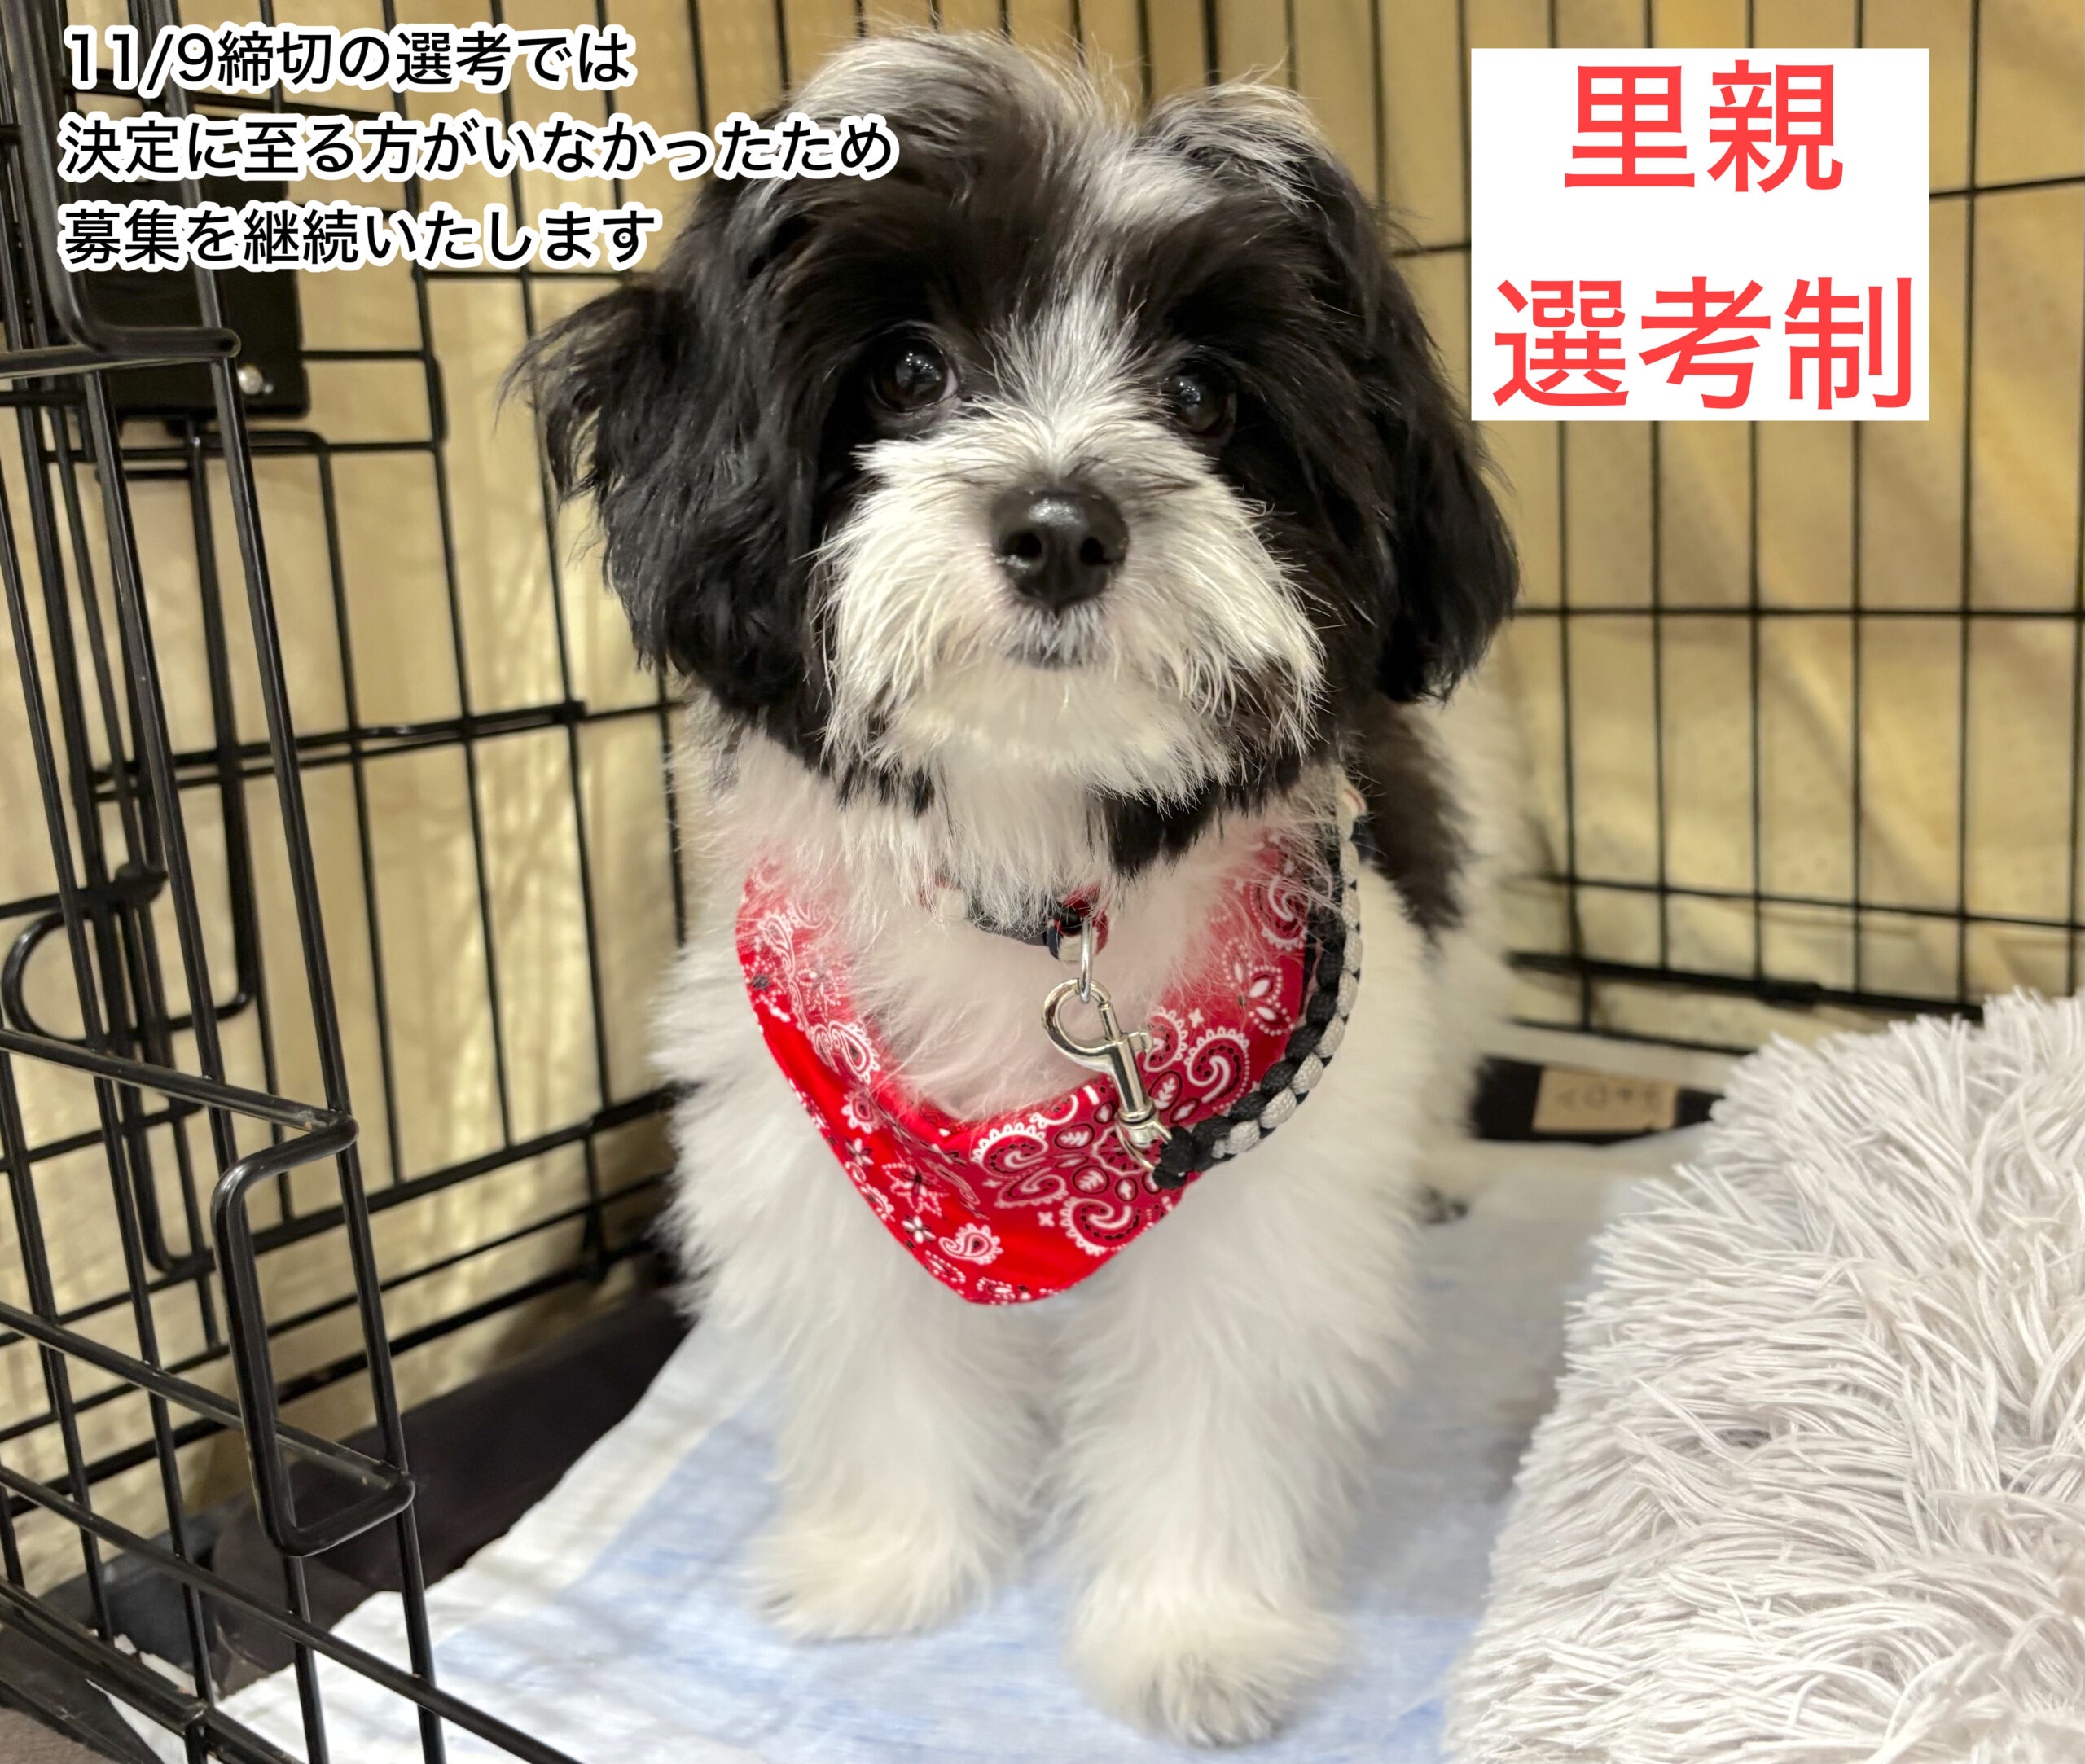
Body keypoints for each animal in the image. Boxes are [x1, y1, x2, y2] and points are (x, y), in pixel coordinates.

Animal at [521, 33, 1520, 1744]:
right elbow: (890, 1368)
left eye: (1201, 393)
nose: (1063, 526)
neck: (1036, 851)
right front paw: (888, 1565)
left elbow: (1212, 1384)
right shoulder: (823, 1135)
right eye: (912, 370)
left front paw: (1194, 1638)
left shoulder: (1256, 1189)